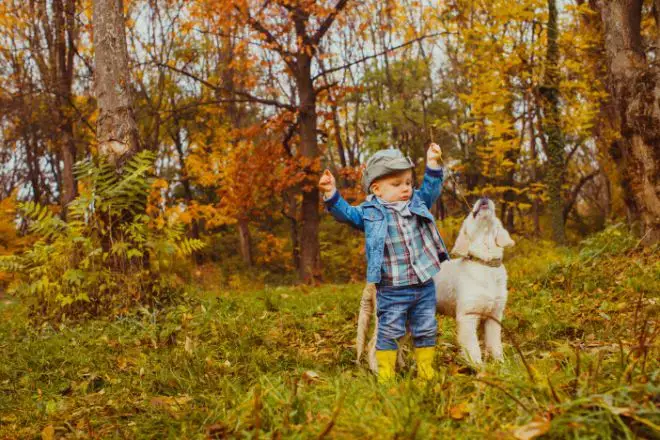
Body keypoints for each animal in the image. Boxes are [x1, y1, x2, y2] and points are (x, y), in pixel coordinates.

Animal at [356, 198, 516, 370]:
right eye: (471, 214)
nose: (484, 199)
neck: (485, 264)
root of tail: (373, 281)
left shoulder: (494, 317)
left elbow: (496, 347)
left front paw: (502, 368)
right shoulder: (467, 317)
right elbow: (473, 349)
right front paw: (480, 371)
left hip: (407, 322)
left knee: (397, 346)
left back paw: (403, 368)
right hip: (391, 317)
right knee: (373, 346)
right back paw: (378, 372)